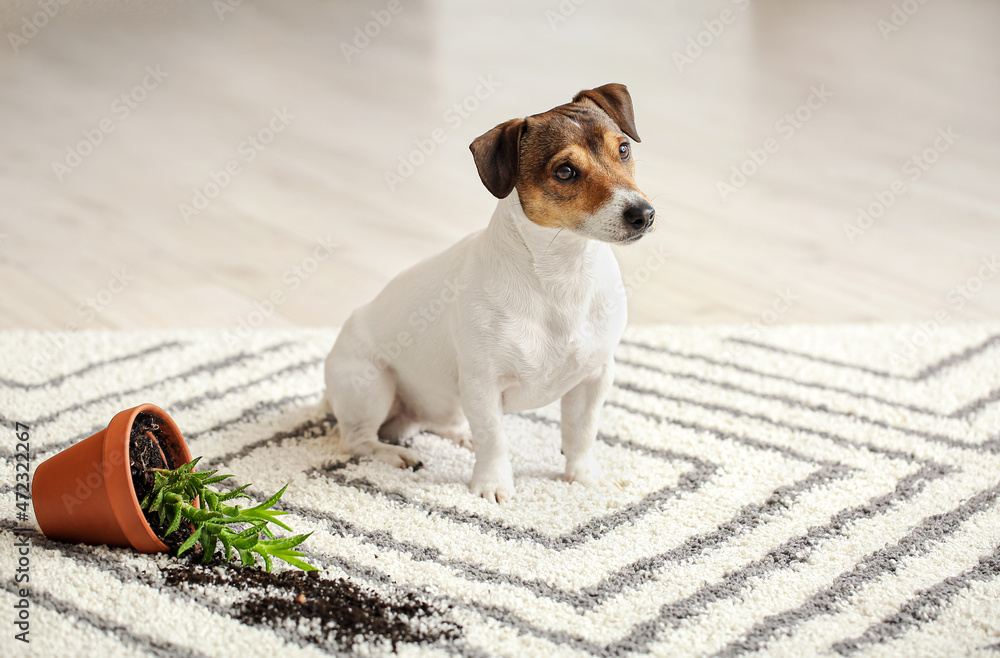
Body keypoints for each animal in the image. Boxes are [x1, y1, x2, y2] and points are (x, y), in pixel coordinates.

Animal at [326, 83, 656, 502]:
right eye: (565, 171)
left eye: (624, 149)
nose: (643, 214)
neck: (564, 274)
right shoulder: (482, 383)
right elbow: (494, 438)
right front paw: (493, 486)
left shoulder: (594, 377)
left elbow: (581, 433)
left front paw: (583, 478)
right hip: (370, 386)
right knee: (357, 439)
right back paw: (396, 454)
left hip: (442, 399)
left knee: (438, 420)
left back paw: (459, 434)